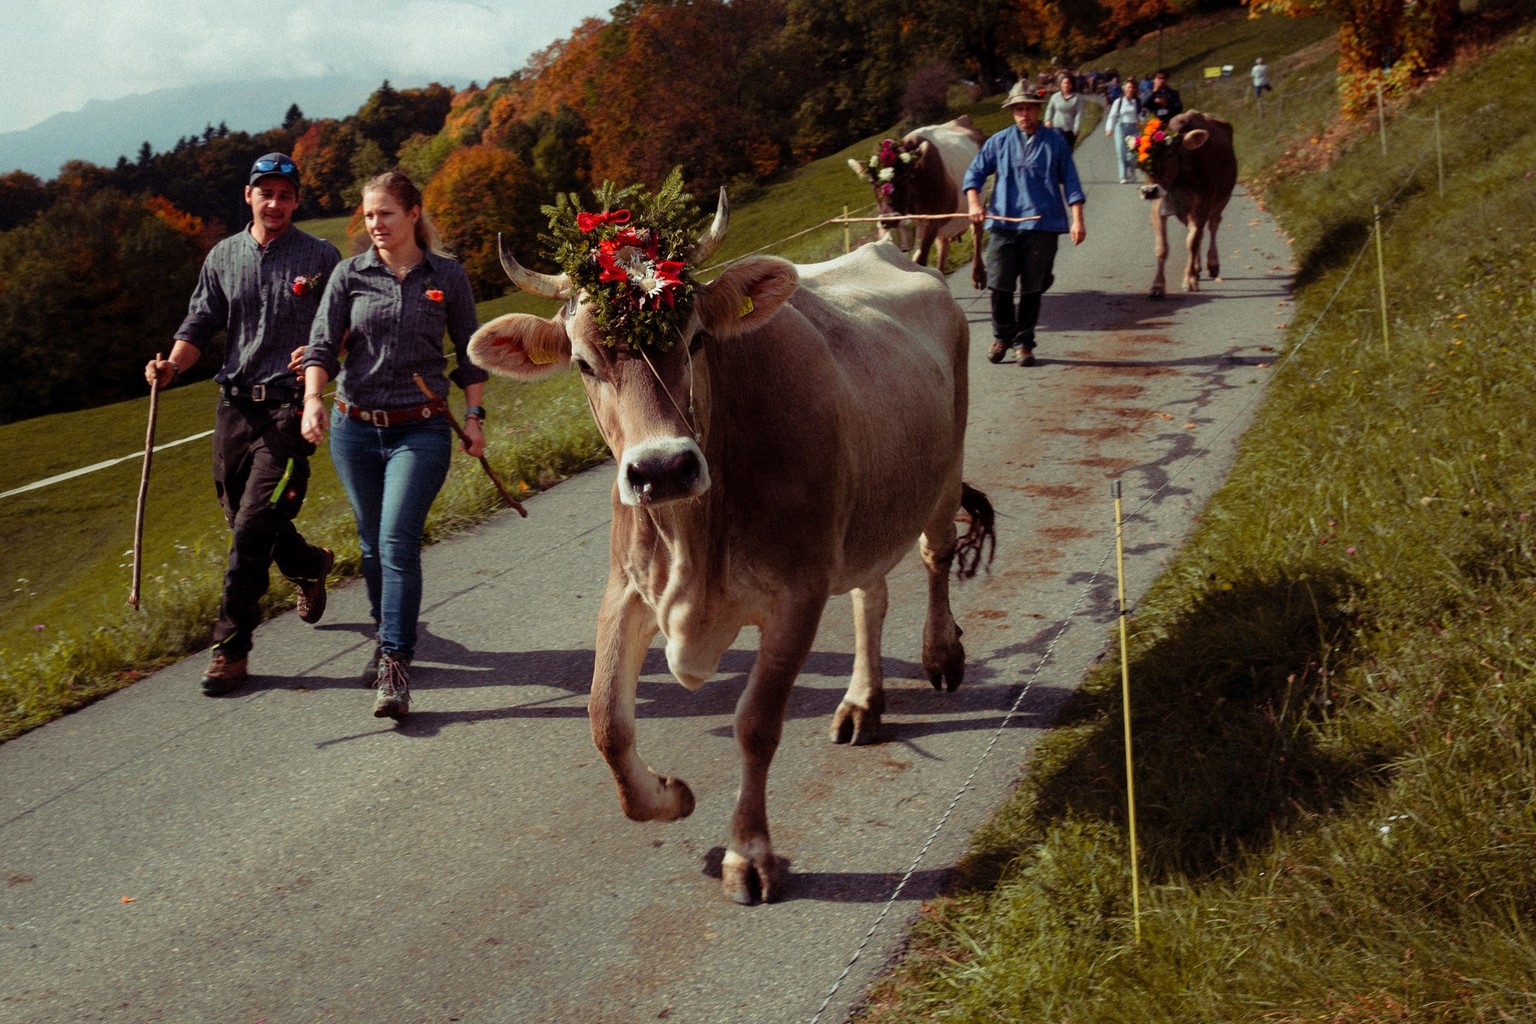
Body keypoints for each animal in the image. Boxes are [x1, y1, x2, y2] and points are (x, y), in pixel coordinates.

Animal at [466, 199, 995, 902]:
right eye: (582, 362)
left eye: (695, 339)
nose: (661, 469)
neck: (695, 538)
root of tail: (890, 251)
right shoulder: (626, 589)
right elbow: (606, 721)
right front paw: (667, 796)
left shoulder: (798, 594)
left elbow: (755, 725)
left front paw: (748, 854)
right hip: (863, 517)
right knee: (871, 594)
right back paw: (862, 701)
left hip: (944, 470)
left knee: (935, 558)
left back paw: (940, 655)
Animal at [854, 116, 983, 270]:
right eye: (872, 182)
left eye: (904, 177)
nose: (889, 220)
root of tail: (962, 119)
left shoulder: (932, 222)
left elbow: (920, 260)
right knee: (943, 248)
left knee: (976, 233)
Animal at [1142, 110, 1234, 297]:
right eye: (1142, 156)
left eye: (1169, 154)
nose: (1148, 191)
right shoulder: (1159, 205)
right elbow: (1162, 247)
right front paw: (1157, 286)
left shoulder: (1202, 205)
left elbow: (1191, 241)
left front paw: (1189, 280)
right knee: (1197, 232)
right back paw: (1197, 268)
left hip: (1221, 201)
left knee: (1212, 226)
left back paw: (1211, 265)